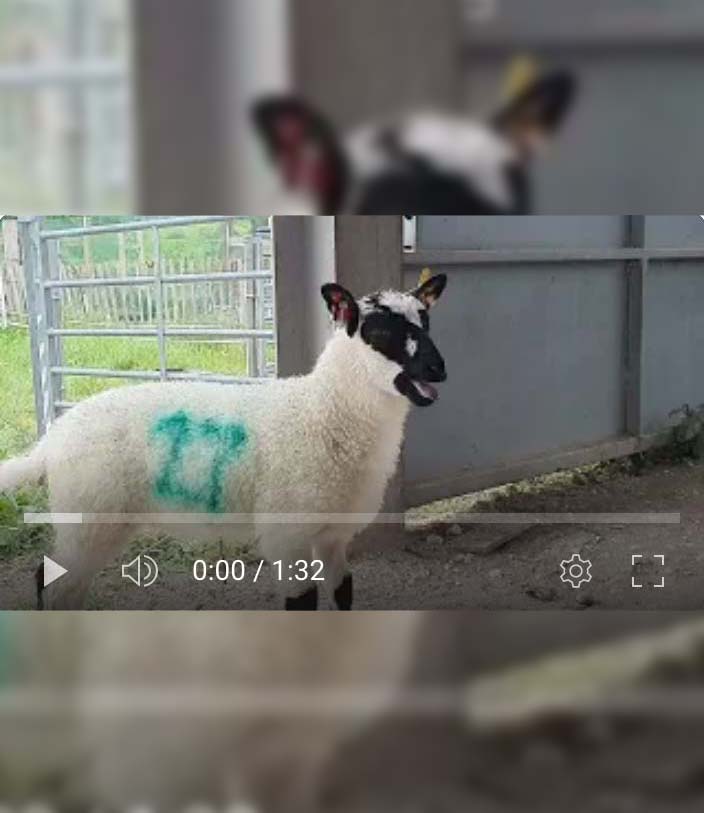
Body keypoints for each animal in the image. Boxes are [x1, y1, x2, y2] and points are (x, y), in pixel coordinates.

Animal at [0, 273, 447, 611]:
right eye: (380, 331)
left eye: (426, 321)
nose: (439, 369)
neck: (322, 412)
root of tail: (51, 439)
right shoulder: (287, 533)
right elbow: (301, 605)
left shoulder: (332, 535)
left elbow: (343, 596)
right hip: (88, 513)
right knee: (52, 581)